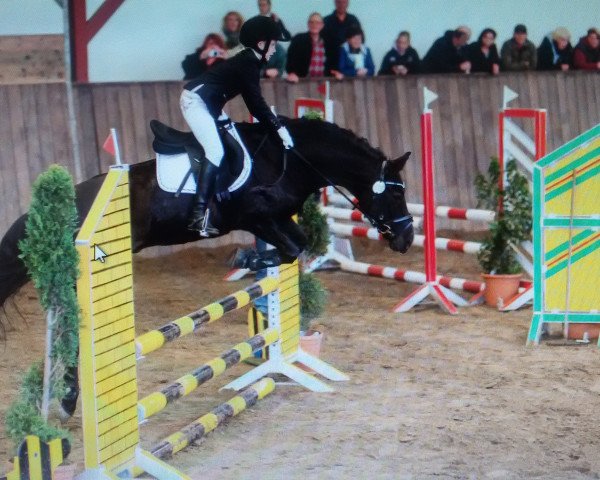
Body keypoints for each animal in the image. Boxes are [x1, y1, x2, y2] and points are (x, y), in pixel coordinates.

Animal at [0, 119, 412, 416]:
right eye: (395, 194)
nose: (406, 239)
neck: (288, 158)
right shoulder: (253, 214)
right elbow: (294, 246)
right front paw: (246, 260)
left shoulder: (271, 219)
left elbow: (295, 246)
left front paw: (252, 263)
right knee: (71, 325)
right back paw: (68, 399)